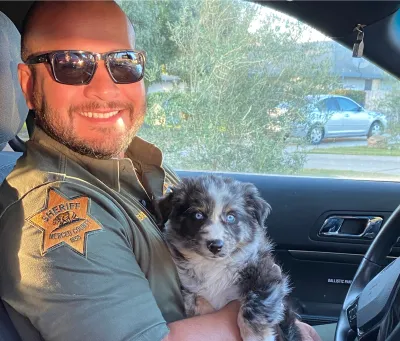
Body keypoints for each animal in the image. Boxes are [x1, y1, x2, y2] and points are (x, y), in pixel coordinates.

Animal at [158, 174, 302, 338]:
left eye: (231, 217)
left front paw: (255, 337)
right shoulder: (189, 288)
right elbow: (196, 301)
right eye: (198, 215)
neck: (214, 265)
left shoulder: (267, 274)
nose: (215, 245)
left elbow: (254, 305)